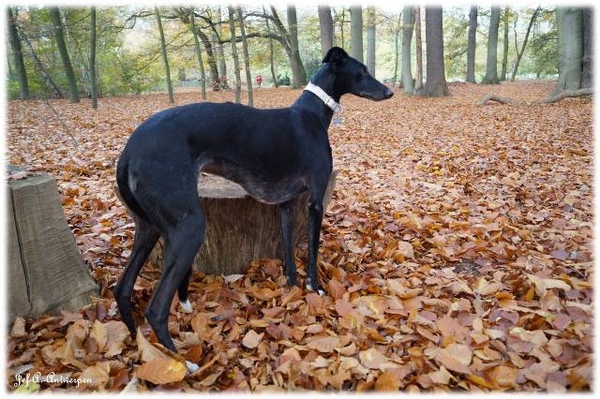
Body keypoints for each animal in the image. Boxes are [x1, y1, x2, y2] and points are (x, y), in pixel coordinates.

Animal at [113, 47, 394, 354]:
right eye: (362, 71)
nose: (389, 92)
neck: (311, 115)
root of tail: (129, 150)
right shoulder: (315, 201)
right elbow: (313, 248)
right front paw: (315, 286)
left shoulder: (286, 203)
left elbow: (287, 248)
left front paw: (291, 285)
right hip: (188, 227)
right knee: (156, 310)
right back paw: (179, 360)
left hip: (148, 227)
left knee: (122, 289)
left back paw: (137, 343)